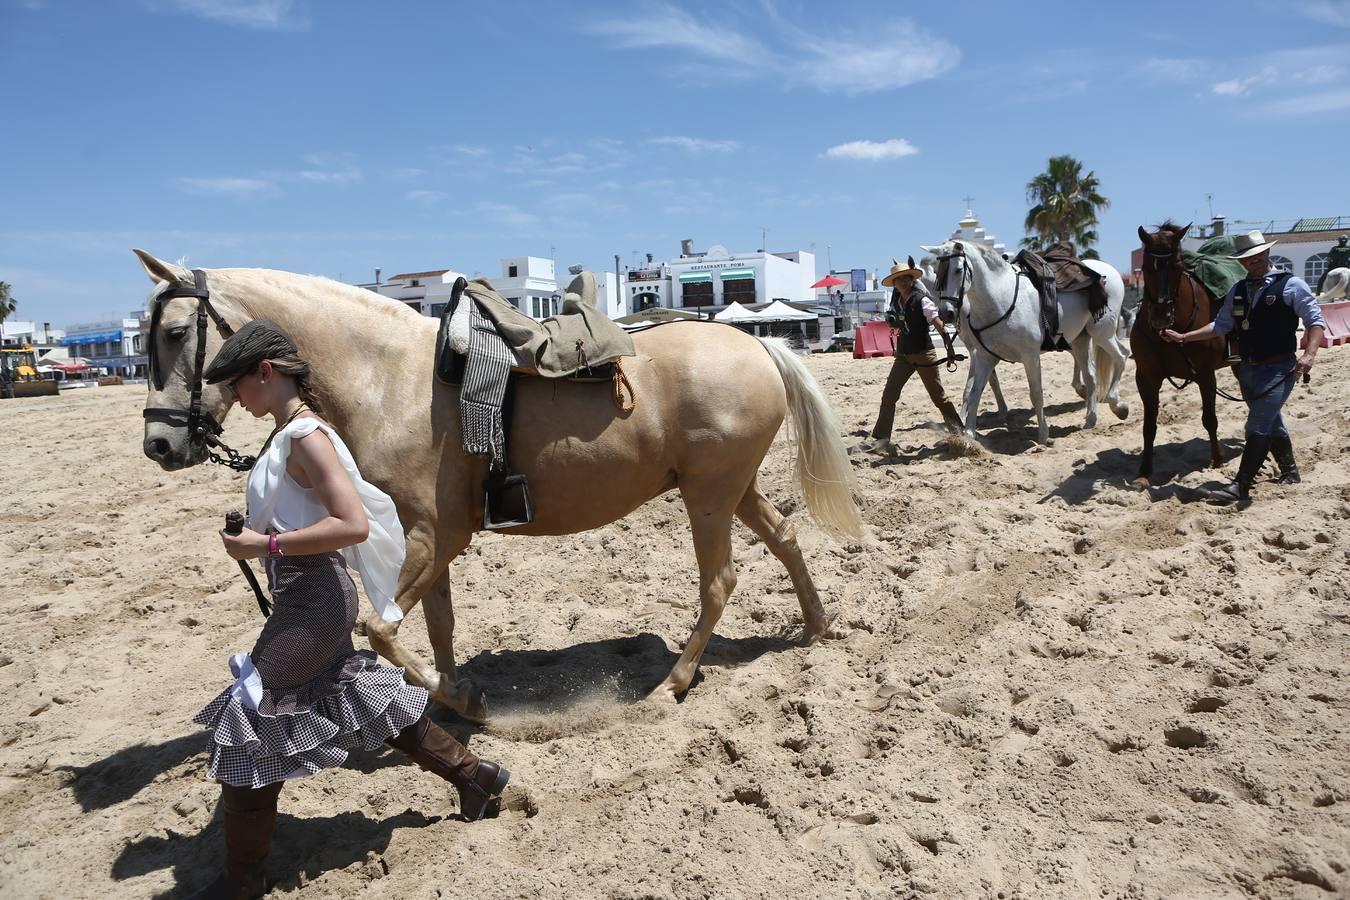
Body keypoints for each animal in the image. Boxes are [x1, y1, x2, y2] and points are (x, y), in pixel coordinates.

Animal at [131, 252, 858, 723]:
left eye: (175, 332)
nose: (158, 445)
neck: (386, 377)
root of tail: (758, 346)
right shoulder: (425, 538)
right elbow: (436, 625)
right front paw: (452, 692)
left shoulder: (438, 533)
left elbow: (381, 628)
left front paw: (462, 700)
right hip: (730, 489)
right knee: (785, 537)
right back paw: (816, 626)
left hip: (709, 498)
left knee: (719, 583)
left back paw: (672, 684)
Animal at [918, 238, 1128, 442]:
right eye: (938, 273)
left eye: (958, 270)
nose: (946, 313)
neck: (1000, 300)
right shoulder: (985, 356)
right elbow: (975, 392)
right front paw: (969, 436)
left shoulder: (1030, 356)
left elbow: (1035, 393)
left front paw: (1043, 435)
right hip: (1080, 340)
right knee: (1091, 375)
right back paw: (1091, 418)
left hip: (1102, 332)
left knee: (1122, 356)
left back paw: (1117, 405)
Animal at [1134, 222, 1231, 483]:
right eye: (1145, 266)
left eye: (1177, 266)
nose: (1160, 316)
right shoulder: (1146, 379)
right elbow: (1149, 426)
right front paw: (1144, 471)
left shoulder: (1206, 376)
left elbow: (1209, 419)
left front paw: (1217, 460)